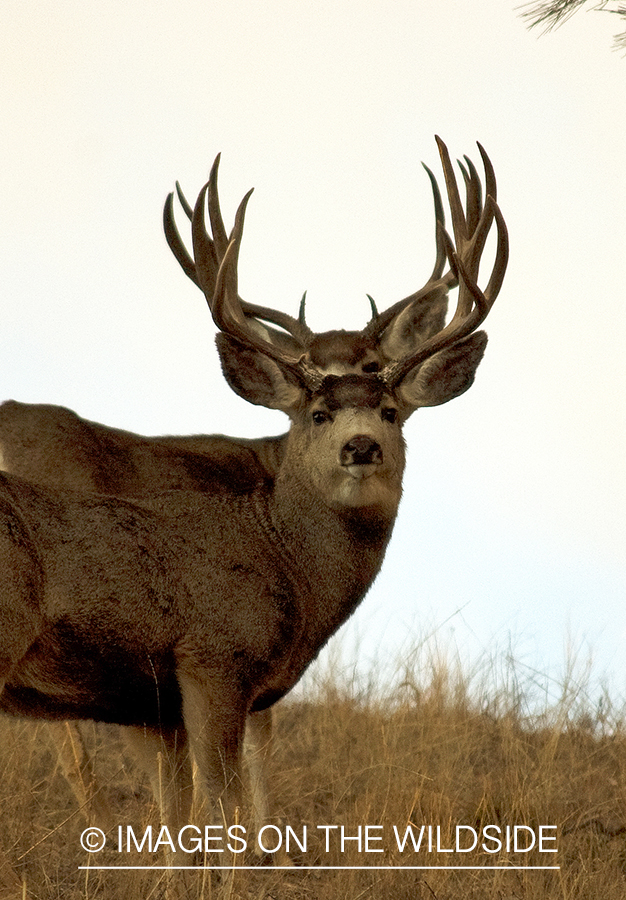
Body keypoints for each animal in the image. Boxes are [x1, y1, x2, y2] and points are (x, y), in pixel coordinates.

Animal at [0, 137, 507, 868]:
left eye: (387, 399)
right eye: (316, 407)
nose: (361, 445)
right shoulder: (217, 656)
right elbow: (242, 764)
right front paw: (270, 853)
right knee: (73, 751)